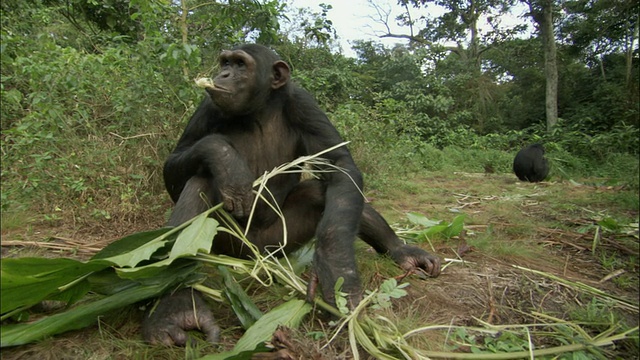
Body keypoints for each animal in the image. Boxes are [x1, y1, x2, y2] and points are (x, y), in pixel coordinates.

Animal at [141, 44, 440, 346]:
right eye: (225, 62)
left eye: (240, 64)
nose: (223, 74)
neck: (260, 110)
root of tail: (254, 260)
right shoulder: (209, 106)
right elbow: (175, 167)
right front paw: (225, 161)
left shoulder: (303, 103)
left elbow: (339, 164)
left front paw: (336, 268)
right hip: (229, 247)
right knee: (199, 185)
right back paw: (176, 309)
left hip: (279, 244)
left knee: (323, 192)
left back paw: (401, 251)